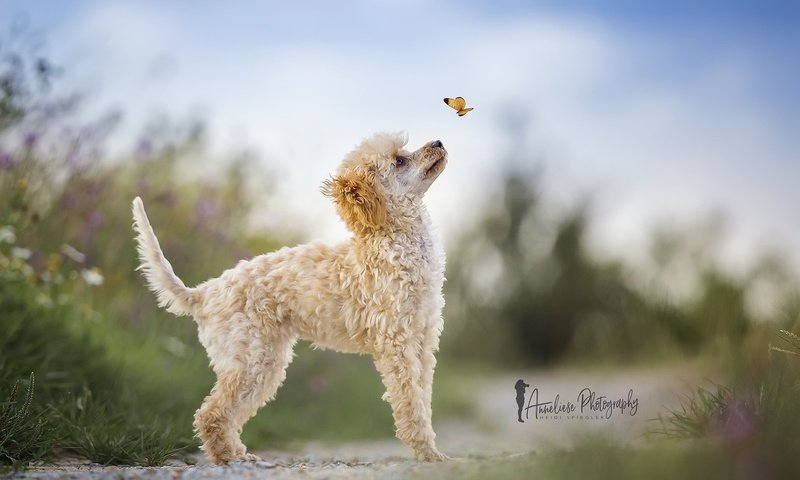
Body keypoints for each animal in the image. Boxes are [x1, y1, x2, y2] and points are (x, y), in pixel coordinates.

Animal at [134, 132, 454, 464]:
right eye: (399, 160)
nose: (439, 142)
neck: (396, 243)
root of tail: (205, 293)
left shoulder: (423, 342)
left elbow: (422, 398)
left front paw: (430, 450)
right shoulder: (397, 344)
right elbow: (411, 403)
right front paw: (427, 452)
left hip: (263, 361)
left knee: (224, 413)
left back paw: (237, 453)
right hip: (253, 360)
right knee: (210, 413)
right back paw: (228, 457)